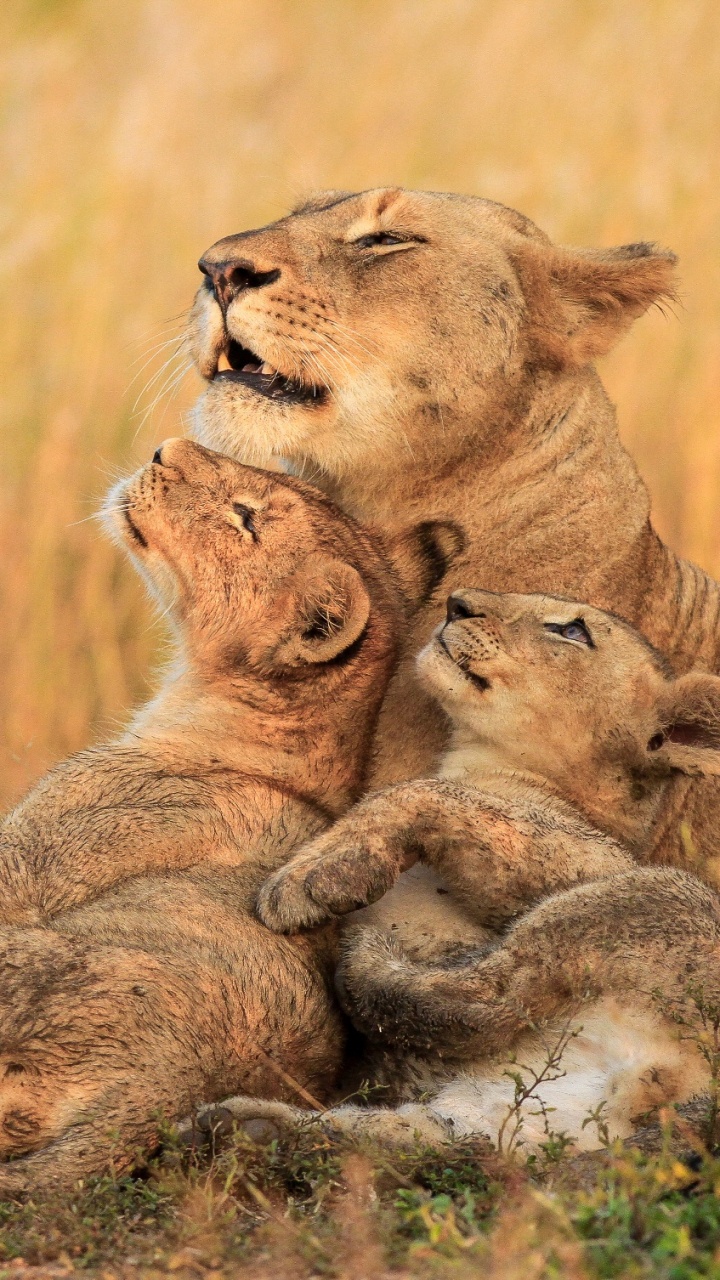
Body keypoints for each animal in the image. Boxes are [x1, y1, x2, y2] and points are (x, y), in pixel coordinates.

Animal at [196, 589, 720, 1152]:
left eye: (573, 631)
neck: (483, 763)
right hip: (507, 1119)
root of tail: (665, 1085)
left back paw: (366, 960)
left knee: (489, 998)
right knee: (416, 1136)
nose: (457, 603)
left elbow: (422, 793)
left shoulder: (593, 859)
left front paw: (310, 878)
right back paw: (243, 1127)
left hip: (655, 895)